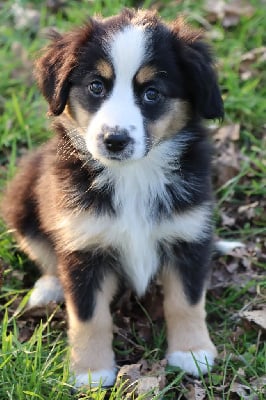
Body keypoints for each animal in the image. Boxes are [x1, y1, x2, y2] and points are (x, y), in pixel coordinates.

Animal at [3, 9, 225, 390]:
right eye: (96, 86)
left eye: (152, 93)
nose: (115, 140)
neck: (133, 175)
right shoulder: (83, 245)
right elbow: (88, 315)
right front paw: (91, 371)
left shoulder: (189, 233)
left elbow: (187, 300)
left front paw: (192, 352)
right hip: (21, 199)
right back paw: (48, 288)